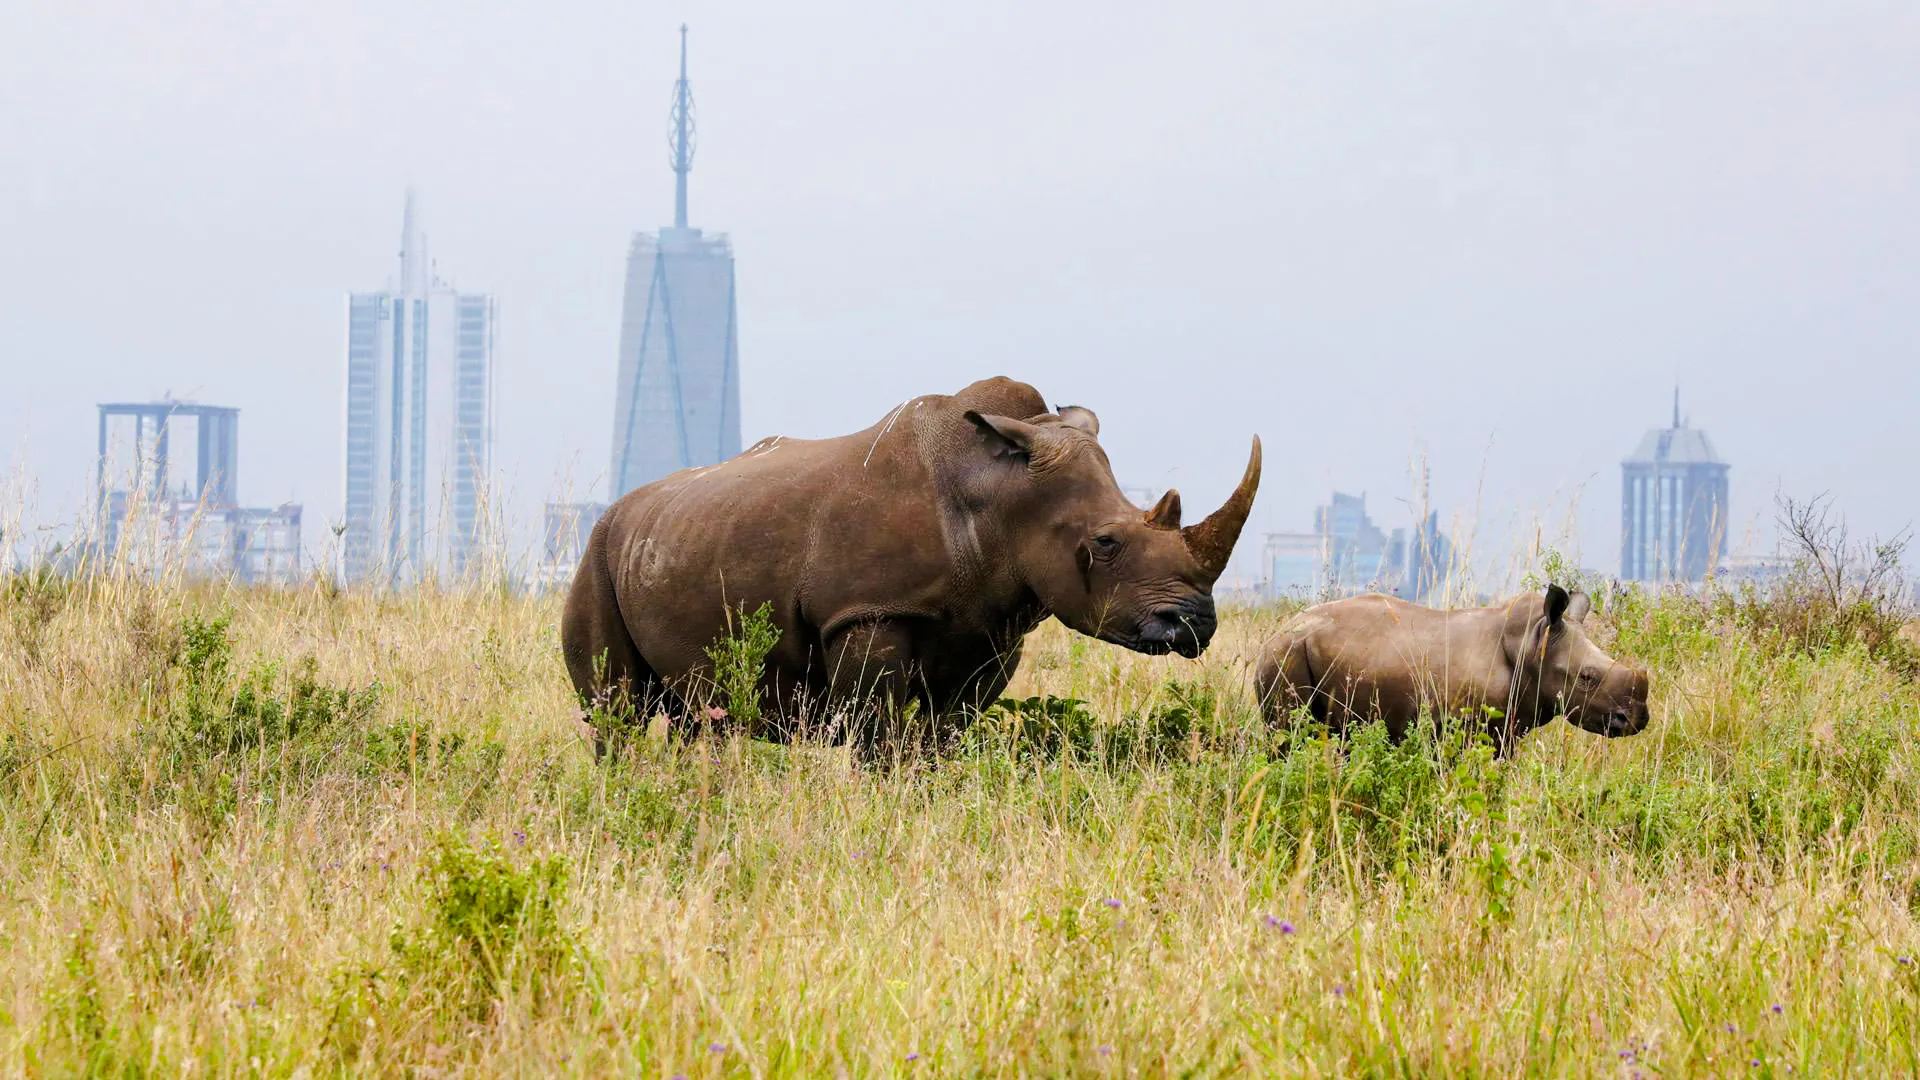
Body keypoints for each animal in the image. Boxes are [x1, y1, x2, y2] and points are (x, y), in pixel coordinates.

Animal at [563, 376, 1261, 750]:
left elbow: (944, 731)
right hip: (596, 551)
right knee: (616, 711)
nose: (1195, 625)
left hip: (669, 539)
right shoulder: (867, 611)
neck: (999, 494)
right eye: (1107, 542)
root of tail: (623, 507)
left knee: (691, 715)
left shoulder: (992, 627)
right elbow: (879, 731)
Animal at [1254, 585, 1650, 754]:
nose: (1637, 719)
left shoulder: (1504, 733)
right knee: (1287, 739)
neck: (1532, 642)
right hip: (1285, 654)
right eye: (1587, 678)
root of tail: (1280, 629)